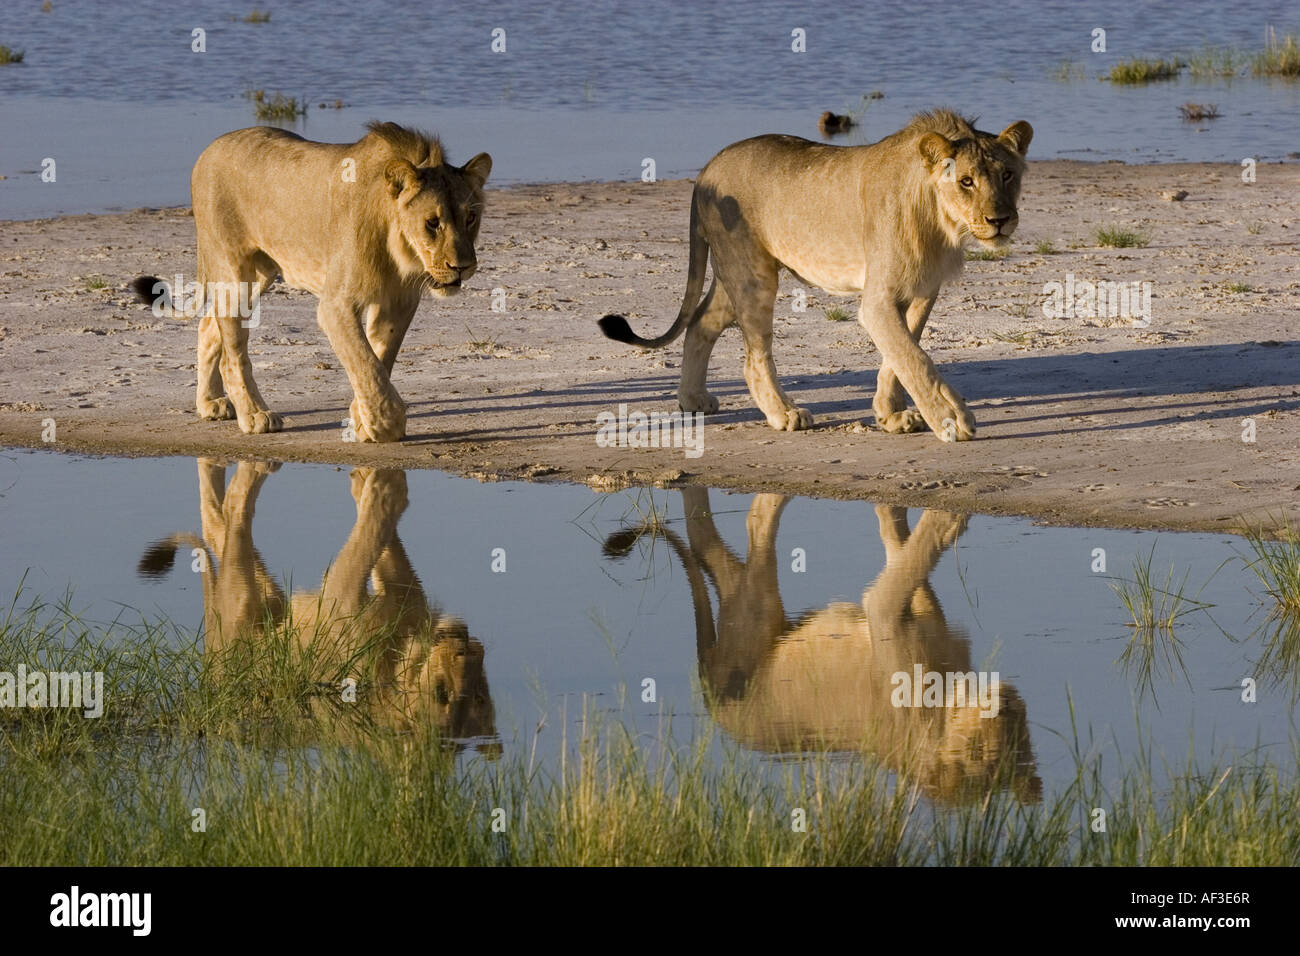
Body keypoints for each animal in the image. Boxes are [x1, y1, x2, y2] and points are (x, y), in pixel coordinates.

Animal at [131, 120, 488, 444]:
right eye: (432, 222)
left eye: (471, 217)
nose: (463, 267)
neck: (399, 248)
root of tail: (208, 150)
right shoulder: (336, 304)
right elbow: (365, 362)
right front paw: (386, 423)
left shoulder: (398, 303)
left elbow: (379, 359)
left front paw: (363, 419)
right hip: (233, 270)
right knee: (233, 353)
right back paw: (255, 416)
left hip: (260, 275)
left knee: (208, 324)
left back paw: (210, 404)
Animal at [598, 109, 1034, 442]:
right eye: (966, 181)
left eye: (1007, 176)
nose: (1000, 220)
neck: (941, 221)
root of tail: (707, 168)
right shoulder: (877, 301)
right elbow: (916, 359)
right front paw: (950, 419)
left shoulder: (923, 290)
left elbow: (899, 355)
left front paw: (891, 415)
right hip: (753, 276)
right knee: (754, 357)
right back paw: (784, 414)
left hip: (733, 274)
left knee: (701, 322)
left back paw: (693, 400)